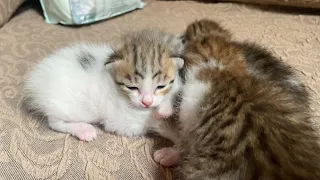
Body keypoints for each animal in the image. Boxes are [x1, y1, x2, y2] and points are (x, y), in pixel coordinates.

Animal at [23, 29, 184, 142]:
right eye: (132, 87)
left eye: (160, 86)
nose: (147, 102)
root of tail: (37, 80)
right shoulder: (124, 121)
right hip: (70, 107)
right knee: (54, 122)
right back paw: (83, 130)